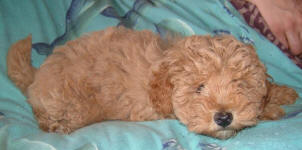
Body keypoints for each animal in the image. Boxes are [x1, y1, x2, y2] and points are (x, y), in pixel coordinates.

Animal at [6, 27, 298, 139]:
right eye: (199, 88)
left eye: (239, 84)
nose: (224, 117)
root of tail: (36, 75)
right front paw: (272, 109)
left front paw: (281, 93)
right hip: (70, 102)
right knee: (48, 116)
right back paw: (58, 125)